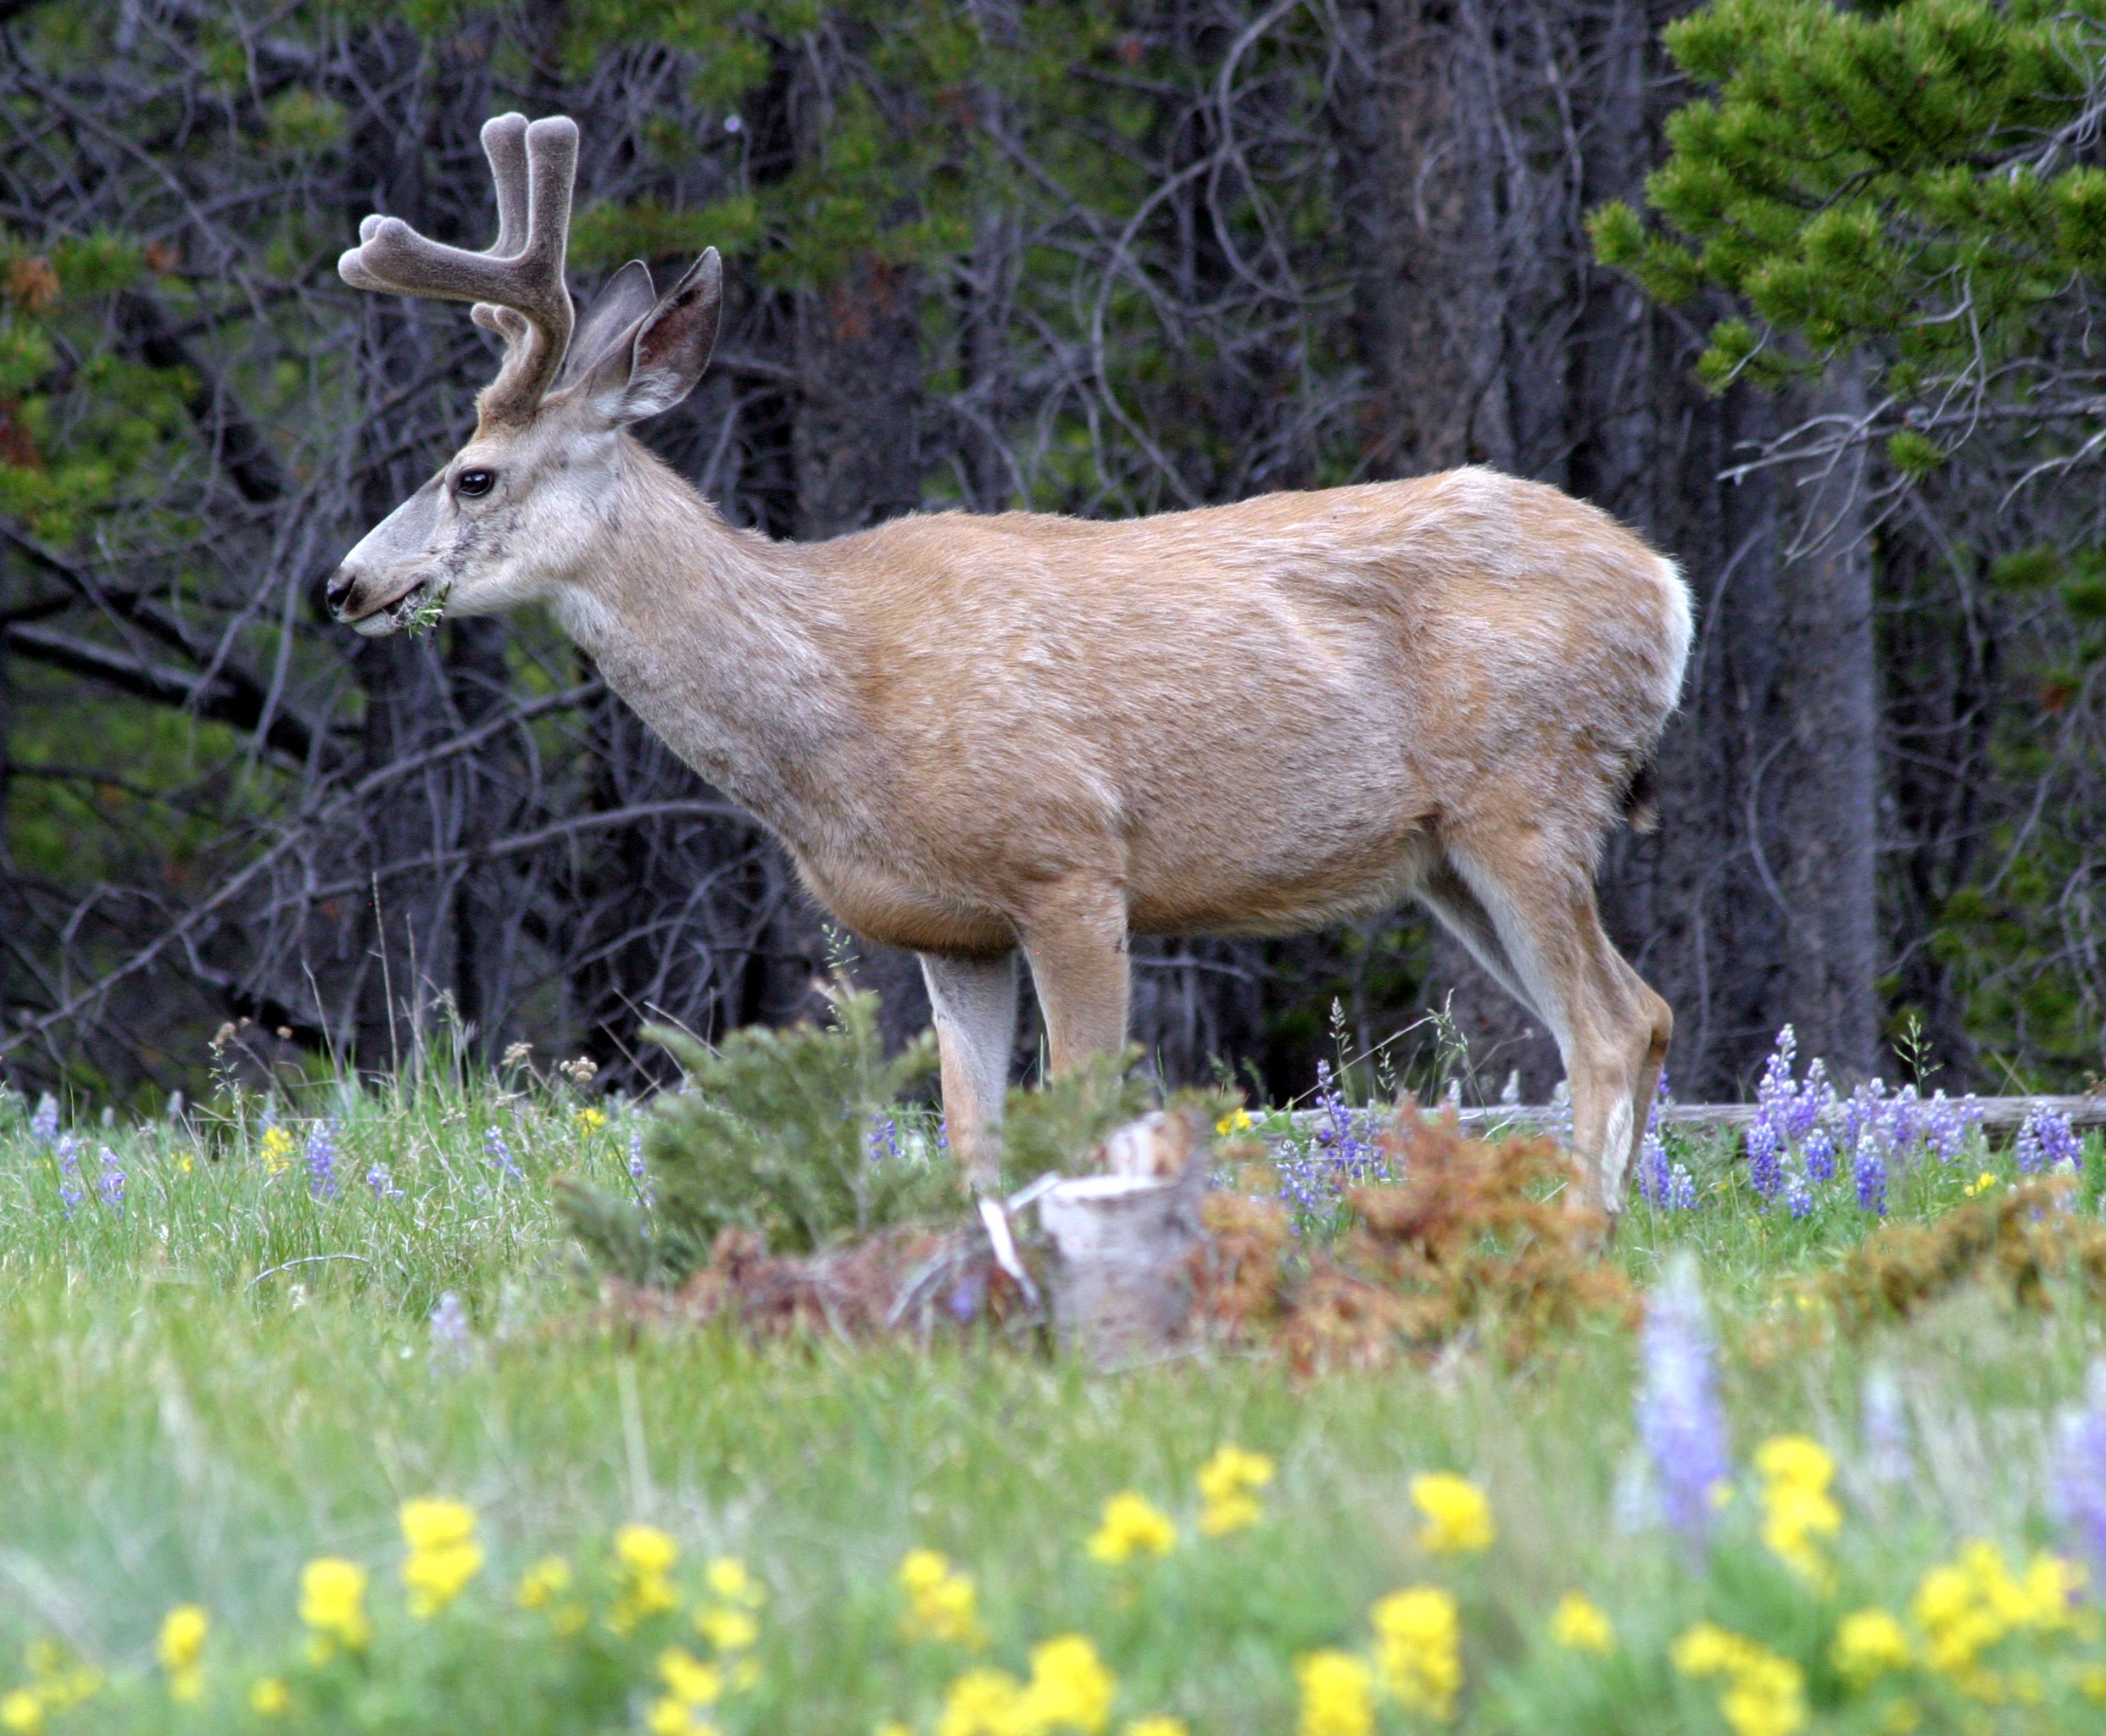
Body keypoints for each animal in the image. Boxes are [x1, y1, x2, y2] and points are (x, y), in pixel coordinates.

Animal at [329, 113, 1691, 1217]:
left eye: (472, 475)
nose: (345, 584)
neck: (841, 699)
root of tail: (1667, 588)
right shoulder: (951, 928)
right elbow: (970, 1137)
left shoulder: (1070, 863)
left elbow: (1080, 1113)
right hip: (1446, 856)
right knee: (1645, 1012)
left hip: (1527, 796)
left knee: (1612, 1023)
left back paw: (1582, 1236)